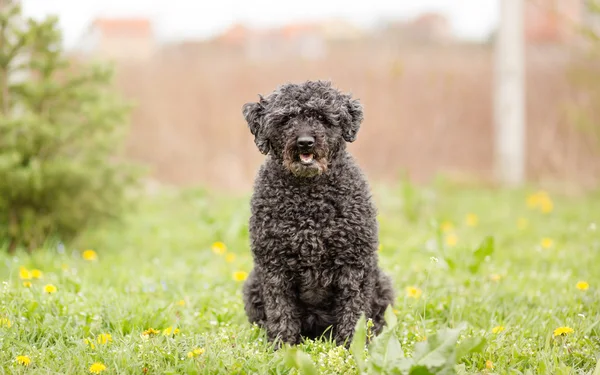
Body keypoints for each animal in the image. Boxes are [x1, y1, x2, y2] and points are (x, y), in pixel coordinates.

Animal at [241, 81, 396, 348]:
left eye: (322, 117)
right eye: (287, 119)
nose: (305, 142)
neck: (310, 202)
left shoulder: (354, 265)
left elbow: (353, 311)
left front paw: (351, 346)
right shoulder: (274, 267)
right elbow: (281, 311)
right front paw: (283, 346)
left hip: (381, 284)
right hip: (253, 285)